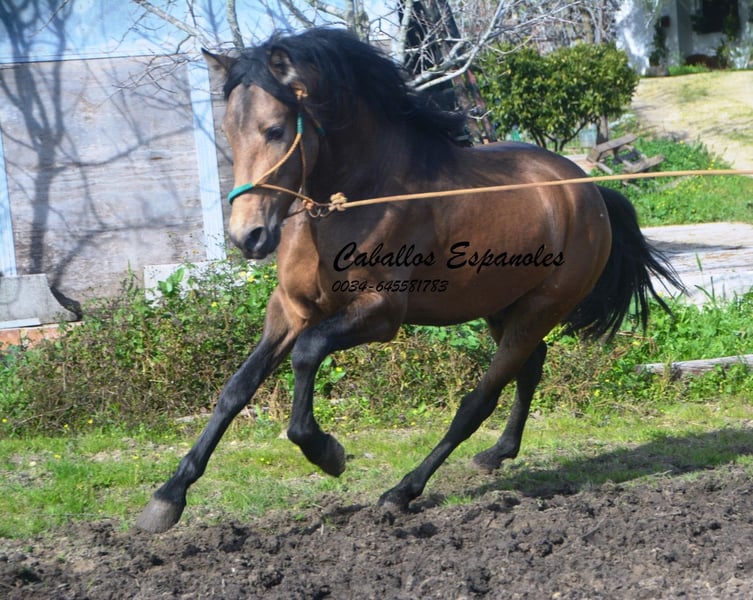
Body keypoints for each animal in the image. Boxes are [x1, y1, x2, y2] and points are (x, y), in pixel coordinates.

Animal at [136, 27, 681, 533]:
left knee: (478, 400)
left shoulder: (380, 314)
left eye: (273, 130)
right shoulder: (290, 307)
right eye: (229, 130)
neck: (355, 198)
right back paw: (497, 454)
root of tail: (591, 193)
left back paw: (404, 491)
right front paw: (167, 498)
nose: (247, 236)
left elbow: (307, 354)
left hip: (539, 308)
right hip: (502, 307)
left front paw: (328, 453)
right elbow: (236, 388)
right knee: (531, 365)